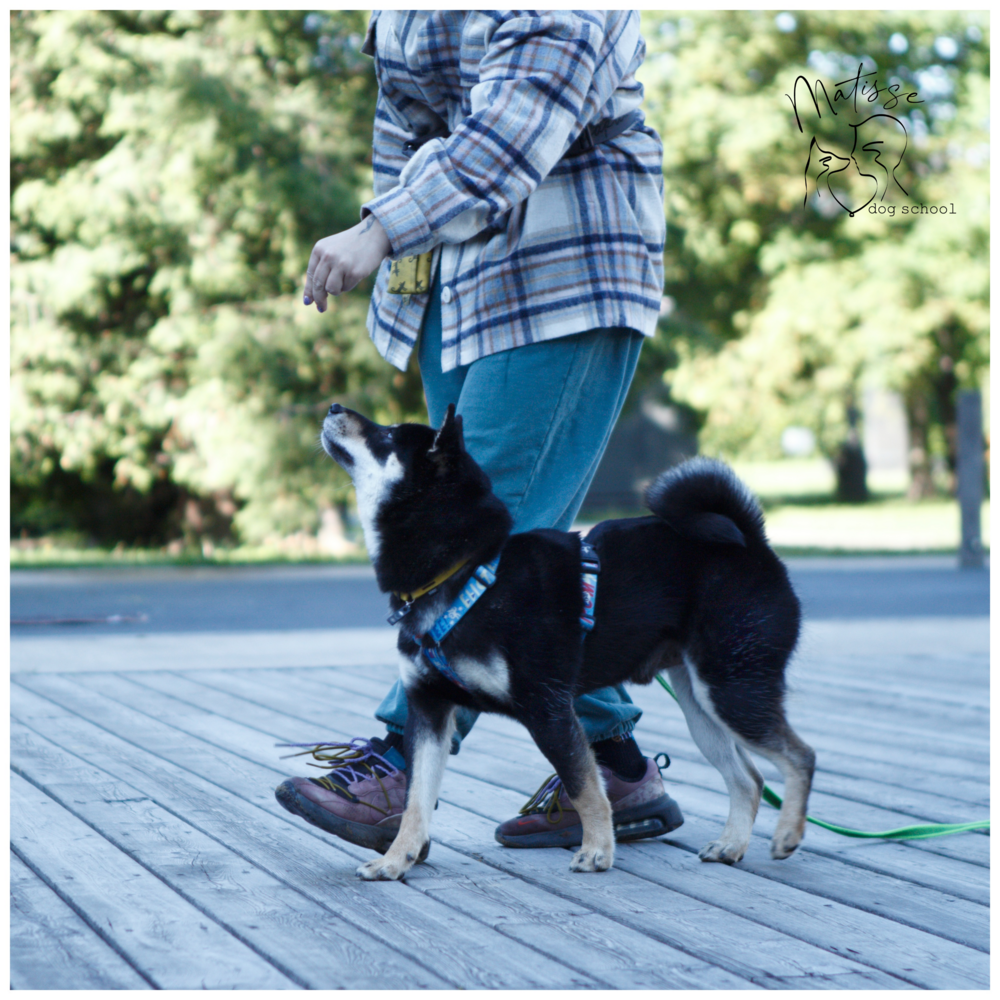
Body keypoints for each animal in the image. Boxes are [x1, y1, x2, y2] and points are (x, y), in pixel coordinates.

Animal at [324, 402, 816, 880]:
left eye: (387, 436)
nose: (332, 406)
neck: (467, 568)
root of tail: (751, 542)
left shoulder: (548, 709)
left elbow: (585, 789)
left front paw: (597, 851)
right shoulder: (430, 710)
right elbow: (416, 802)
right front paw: (395, 860)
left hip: (732, 691)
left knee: (801, 757)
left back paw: (787, 834)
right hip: (703, 711)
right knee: (749, 779)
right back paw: (732, 845)